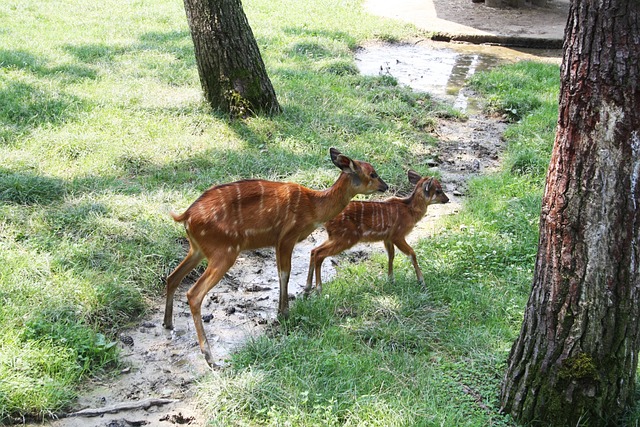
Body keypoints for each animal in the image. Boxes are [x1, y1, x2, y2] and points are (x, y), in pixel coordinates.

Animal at [162, 149, 388, 366]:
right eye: (372, 174)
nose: (385, 186)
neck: (313, 207)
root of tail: (186, 216)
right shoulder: (287, 236)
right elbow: (285, 273)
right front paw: (284, 313)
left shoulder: (279, 241)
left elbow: (282, 273)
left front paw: (282, 311)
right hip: (225, 251)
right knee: (194, 294)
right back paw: (210, 357)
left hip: (198, 249)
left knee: (172, 277)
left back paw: (168, 323)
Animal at [306, 171, 450, 294]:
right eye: (438, 190)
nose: (447, 199)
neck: (410, 211)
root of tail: (326, 221)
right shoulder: (398, 234)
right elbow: (412, 253)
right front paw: (422, 281)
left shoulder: (387, 238)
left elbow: (391, 256)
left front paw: (391, 279)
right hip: (346, 237)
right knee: (319, 253)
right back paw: (318, 289)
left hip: (336, 236)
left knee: (314, 250)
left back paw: (307, 290)